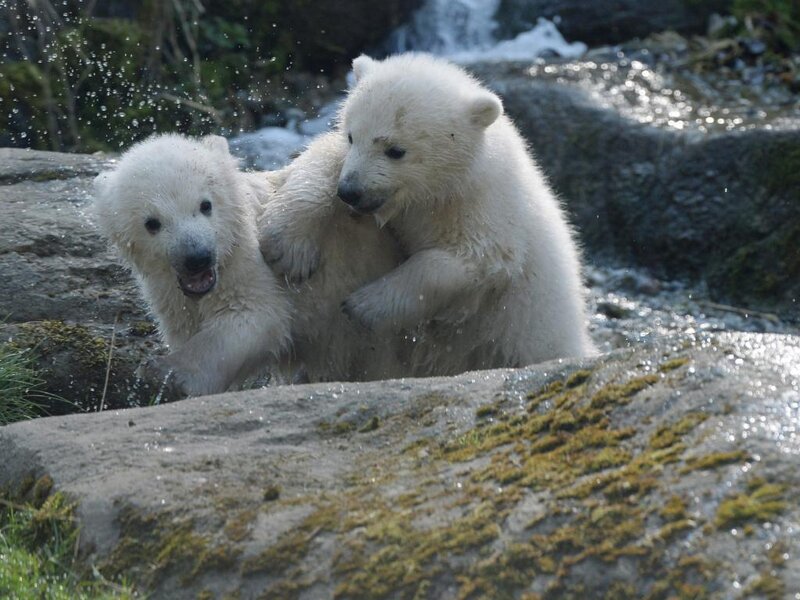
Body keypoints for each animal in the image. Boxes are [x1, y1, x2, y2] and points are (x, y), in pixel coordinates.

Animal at [93, 133, 406, 397]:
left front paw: (165, 374)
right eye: (152, 223)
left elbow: (255, 316)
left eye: (205, 205)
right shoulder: (169, 294)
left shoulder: (245, 263)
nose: (197, 257)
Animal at [261, 53, 595, 376]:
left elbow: (472, 260)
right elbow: (323, 157)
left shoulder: (484, 208)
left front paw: (364, 305)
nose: (350, 191)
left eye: (396, 150)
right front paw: (289, 249)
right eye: (351, 135)